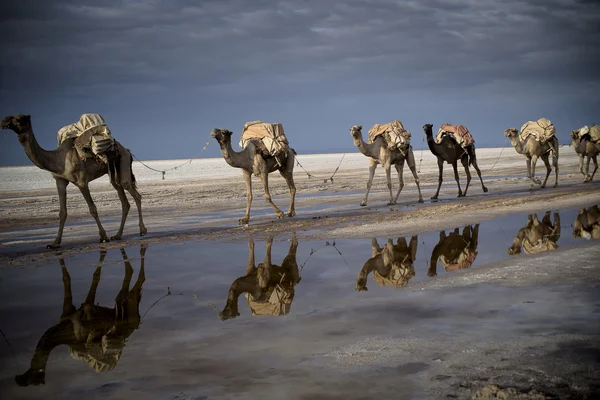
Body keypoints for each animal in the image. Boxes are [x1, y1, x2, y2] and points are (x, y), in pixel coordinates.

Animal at [1, 114, 147, 248]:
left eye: (19, 119)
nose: (4, 121)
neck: (58, 160)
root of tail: (127, 150)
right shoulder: (60, 181)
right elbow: (62, 212)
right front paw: (54, 243)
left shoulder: (81, 181)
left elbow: (92, 209)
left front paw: (103, 236)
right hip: (113, 172)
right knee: (123, 200)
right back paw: (117, 235)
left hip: (123, 162)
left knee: (135, 194)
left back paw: (142, 230)